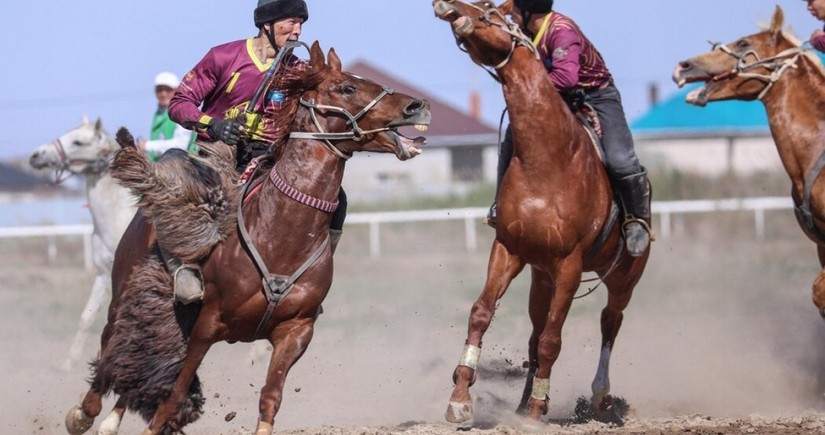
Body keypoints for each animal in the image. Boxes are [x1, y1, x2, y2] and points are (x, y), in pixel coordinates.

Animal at [29, 116, 137, 372]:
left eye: (78, 142)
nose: (36, 155)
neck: (118, 217)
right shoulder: (103, 274)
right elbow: (86, 318)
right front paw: (68, 363)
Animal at [64, 41, 432, 435]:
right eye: (347, 87)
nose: (416, 106)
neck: (280, 235)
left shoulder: (296, 330)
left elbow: (270, 397)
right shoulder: (206, 326)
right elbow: (174, 393)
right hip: (122, 291)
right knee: (111, 345)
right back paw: (84, 412)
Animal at [432, 0, 652, 426]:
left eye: (490, 10)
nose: (446, 6)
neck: (547, 159)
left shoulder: (569, 264)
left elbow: (553, 339)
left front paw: (538, 409)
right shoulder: (509, 250)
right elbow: (482, 314)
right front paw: (461, 397)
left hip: (623, 279)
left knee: (609, 322)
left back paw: (599, 397)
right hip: (541, 278)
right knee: (535, 334)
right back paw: (521, 404)